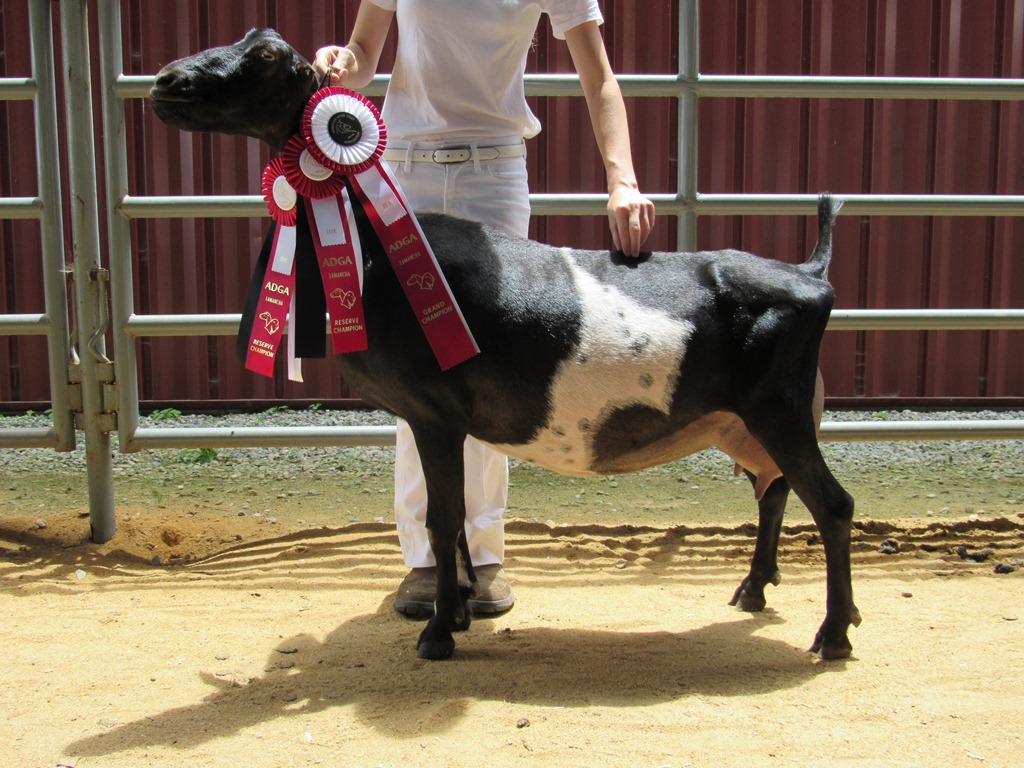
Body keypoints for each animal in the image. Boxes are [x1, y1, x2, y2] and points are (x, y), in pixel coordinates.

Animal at [148, 25, 860, 663]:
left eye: (267, 57)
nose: (165, 82)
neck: (372, 250)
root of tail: (809, 274)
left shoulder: (433, 411)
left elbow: (443, 521)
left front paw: (438, 634)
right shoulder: (446, 420)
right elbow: (455, 519)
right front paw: (459, 612)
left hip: (779, 408)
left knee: (831, 503)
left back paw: (833, 633)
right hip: (747, 419)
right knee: (774, 490)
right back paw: (758, 592)